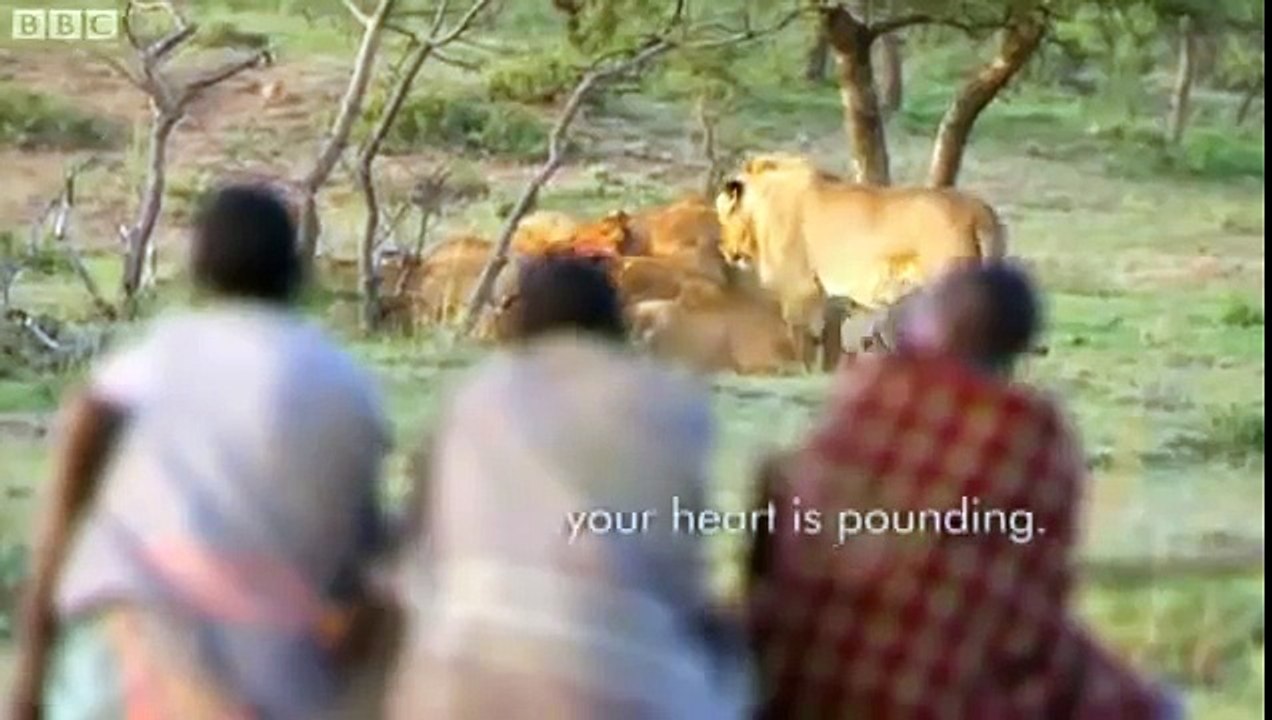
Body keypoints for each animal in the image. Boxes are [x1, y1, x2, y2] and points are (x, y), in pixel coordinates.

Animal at [714, 152, 1007, 369]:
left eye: (723, 216)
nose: (725, 250)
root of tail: (979, 210)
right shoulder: (844, 302)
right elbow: (840, 340)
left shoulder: (799, 288)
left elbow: (803, 340)